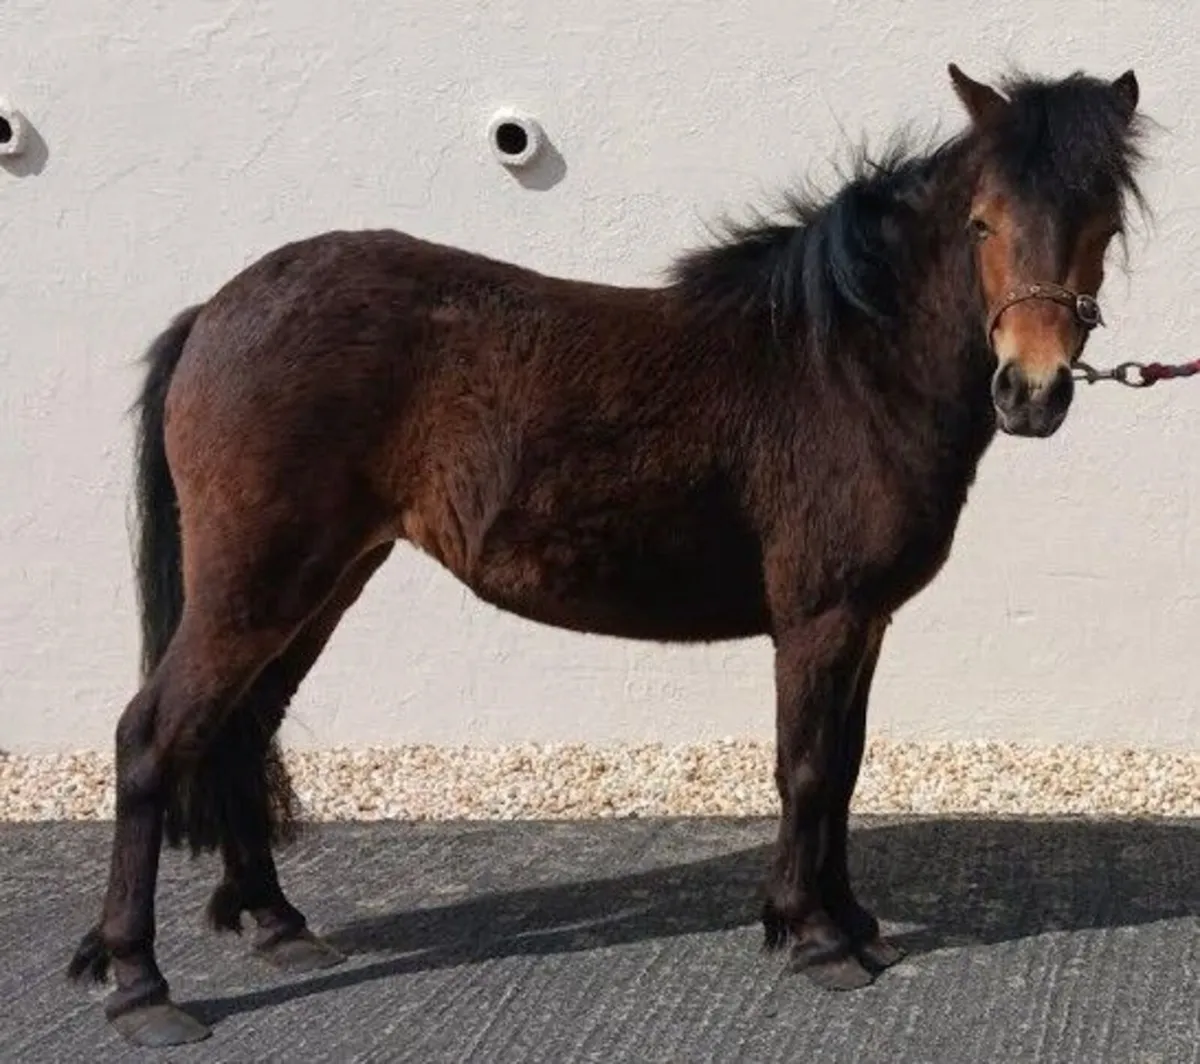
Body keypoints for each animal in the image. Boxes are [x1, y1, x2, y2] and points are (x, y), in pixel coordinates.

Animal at [66, 63, 1149, 1046]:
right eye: (982, 222)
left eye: (1103, 224)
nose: (1032, 390)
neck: (841, 364)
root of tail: (215, 310)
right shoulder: (819, 618)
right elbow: (804, 769)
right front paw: (814, 937)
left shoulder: (865, 622)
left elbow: (842, 769)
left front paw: (852, 920)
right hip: (256, 583)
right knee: (153, 736)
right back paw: (140, 983)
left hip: (321, 582)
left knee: (239, 729)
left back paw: (278, 923)